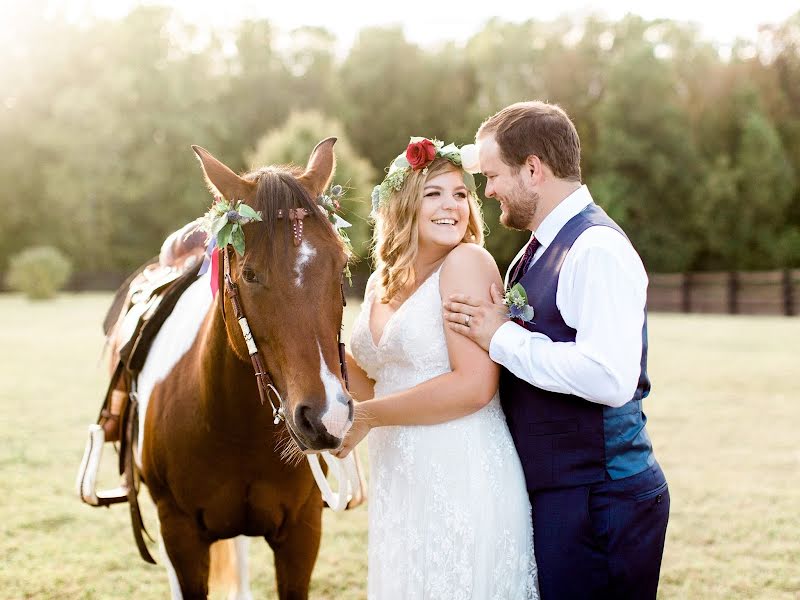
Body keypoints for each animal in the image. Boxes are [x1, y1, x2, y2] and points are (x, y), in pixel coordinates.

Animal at [131, 138, 354, 596]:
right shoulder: (179, 534)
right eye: (250, 274)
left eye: (341, 265)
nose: (328, 417)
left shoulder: (303, 532)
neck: (235, 428)